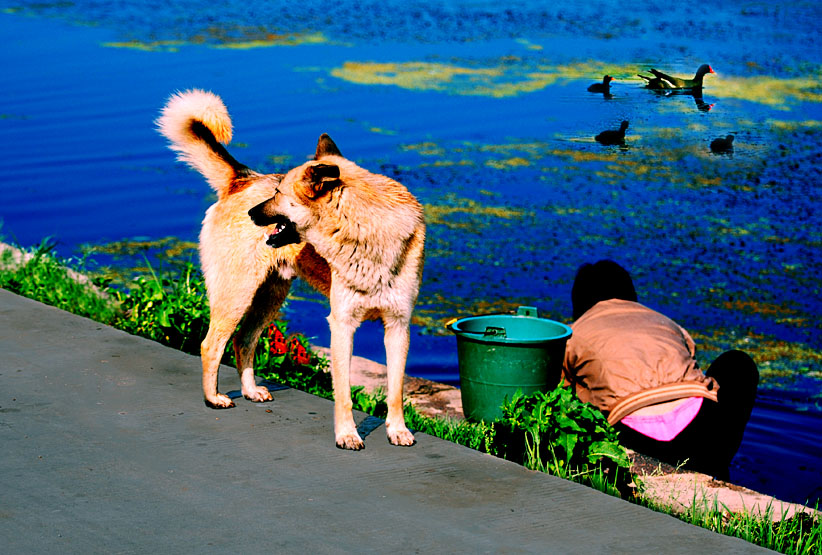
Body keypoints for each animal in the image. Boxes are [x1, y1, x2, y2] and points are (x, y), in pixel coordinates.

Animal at [158, 90, 332, 412]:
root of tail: (243, 178)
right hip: (237, 292)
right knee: (212, 344)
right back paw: (213, 398)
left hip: (269, 295)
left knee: (243, 341)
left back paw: (250, 391)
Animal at [248, 135, 428, 452]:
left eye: (278, 193)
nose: (250, 213)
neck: (366, 233)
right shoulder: (342, 324)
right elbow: (343, 392)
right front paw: (347, 435)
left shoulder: (398, 326)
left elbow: (395, 390)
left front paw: (397, 430)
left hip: (268, 301)